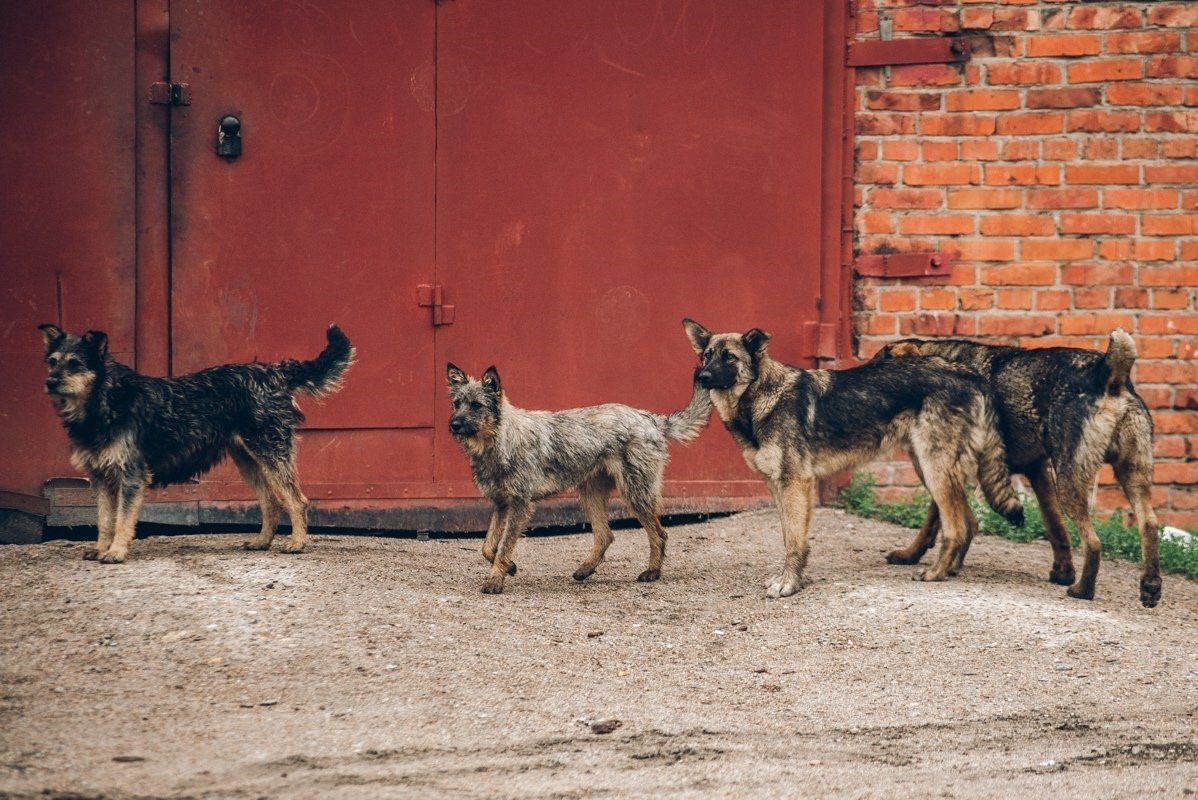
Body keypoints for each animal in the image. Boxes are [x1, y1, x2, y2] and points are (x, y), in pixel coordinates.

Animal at [38, 320, 354, 560]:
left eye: (75, 364)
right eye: (52, 362)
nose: (50, 382)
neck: (107, 398)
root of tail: (273, 372)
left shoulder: (131, 475)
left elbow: (123, 519)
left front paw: (115, 552)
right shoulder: (102, 478)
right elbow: (104, 520)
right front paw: (100, 548)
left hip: (271, 452)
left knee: (296, 500)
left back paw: (297, 543)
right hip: (249, 459)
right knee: (271, 501)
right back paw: (262, 541)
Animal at [450, 361, 709, 594]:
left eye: (476, 405)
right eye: (456, 404)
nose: (453, 424)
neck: (501, 438)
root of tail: (651, 419)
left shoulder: (519, 505)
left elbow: (503, 546)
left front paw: (495, 580)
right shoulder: (502, 504)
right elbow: (488, 546)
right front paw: (510, 568)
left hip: (635, 493)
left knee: (659, 534)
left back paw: (652, 572)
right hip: (590, 493)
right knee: (605, 536)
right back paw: (585, 570)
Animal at [685, 318, 1020, 598]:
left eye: (729, 357)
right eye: (707, 355)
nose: (702, 376)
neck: (760, 398)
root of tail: (970, 375)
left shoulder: (795, 484)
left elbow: (795, 541)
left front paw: (789, 584)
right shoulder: (777, 486)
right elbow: (788, 537)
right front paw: (793, 579)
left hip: (934, 470)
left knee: (956, 527)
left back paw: (935, 573)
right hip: (929, 469)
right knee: (970, 521)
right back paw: (949, 569)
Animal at [872, 330, 1159, 605]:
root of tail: (1109, 372)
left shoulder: (945, 466)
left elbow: (932, 521)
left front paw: (911, 555)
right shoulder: (1038, 470)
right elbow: (1055, 527)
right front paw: (1063, 571)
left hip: (1069, 481)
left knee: (1094, 542)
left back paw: (1083, 590)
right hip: (1131, 473)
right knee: (1149, 524)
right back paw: (1150, 586)